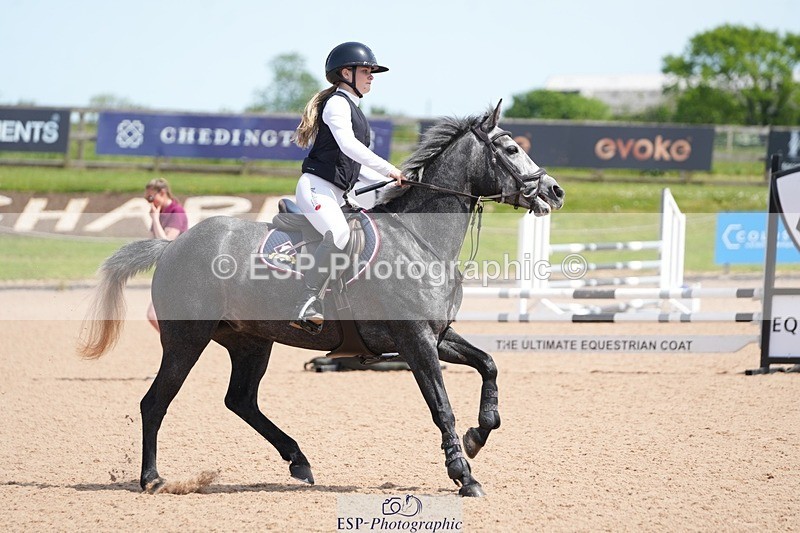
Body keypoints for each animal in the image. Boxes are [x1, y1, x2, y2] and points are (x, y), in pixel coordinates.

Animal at [79, 100, 564, 497]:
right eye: (510, 148)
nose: (554, 191)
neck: (420, 240)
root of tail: (172, 247)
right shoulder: (415, 341)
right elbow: (442, 407)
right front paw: (464, 475)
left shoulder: (437, 336)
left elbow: (488, 364)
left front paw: (478, 436)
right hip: (186, 340)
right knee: (155, 402)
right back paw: (152, 479)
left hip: (250, 341)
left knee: (240, 400)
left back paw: (299, 461)